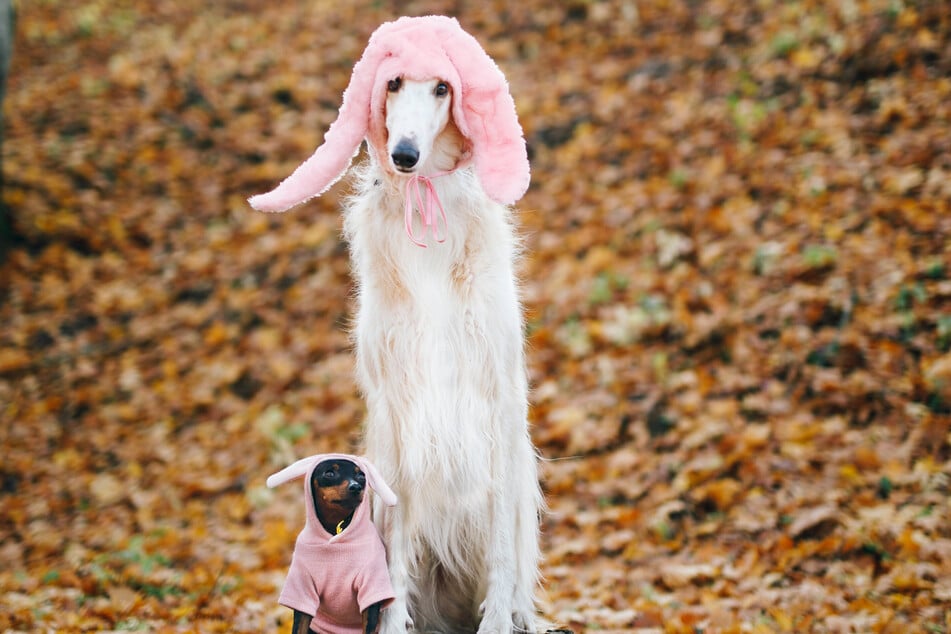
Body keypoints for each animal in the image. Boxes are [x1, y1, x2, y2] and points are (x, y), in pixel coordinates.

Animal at [247, 16, 544, 632]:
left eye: (443, 88)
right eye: (392, 82)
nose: (405, 155)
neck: (426, 210)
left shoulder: (497, 401)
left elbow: (502, 551)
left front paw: (498, 620)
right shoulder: (399, 412)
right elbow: (395, 553)